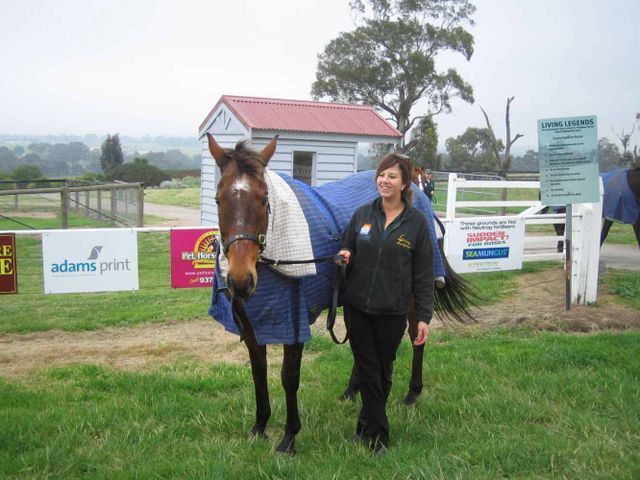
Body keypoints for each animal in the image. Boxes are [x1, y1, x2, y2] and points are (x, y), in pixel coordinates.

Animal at [207, 135, 475, 454]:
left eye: (263, 199)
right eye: (218, 199)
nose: (240, 280)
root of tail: (416, 196)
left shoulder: (294, 324)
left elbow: (289, 378)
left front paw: (289, 437)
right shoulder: (250, 326)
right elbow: (258, 372)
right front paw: (259, 427)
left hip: (411, 296)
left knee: (415, 336)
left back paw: (412, 393)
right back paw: (352, 391)